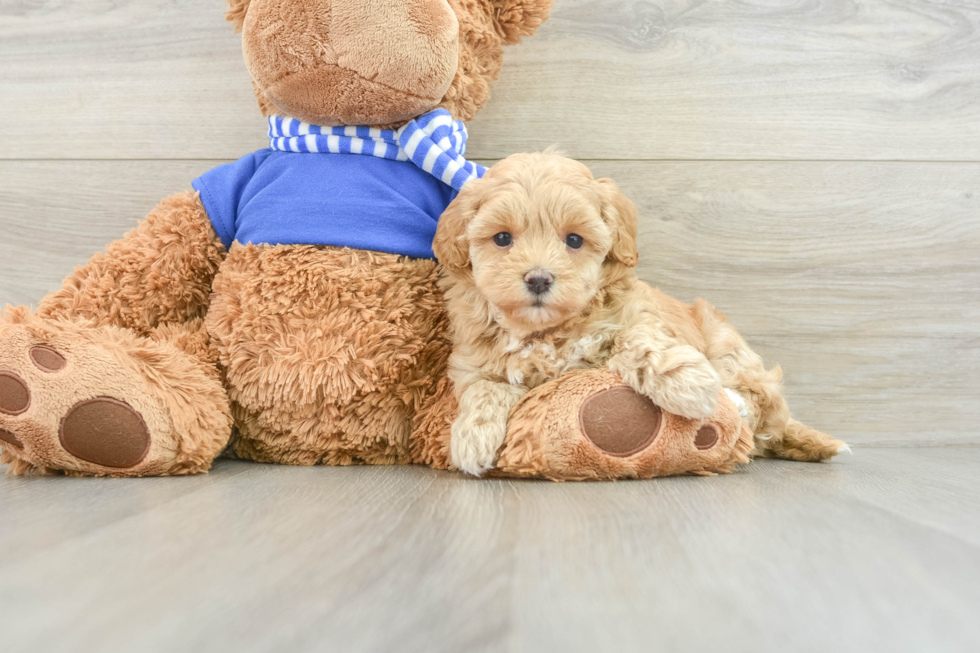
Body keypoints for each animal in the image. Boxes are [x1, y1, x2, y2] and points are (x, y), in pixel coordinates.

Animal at [432, 151, 848, 476]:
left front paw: (688, 382)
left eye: (574, 240)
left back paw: (736, 403)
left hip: (726, 342)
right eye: (502, 238)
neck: (545, 331)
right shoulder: (474, 362)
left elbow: (640, 340)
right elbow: (485, 388)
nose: (538, 278)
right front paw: (471, 437)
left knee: (761, 403)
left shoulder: (634, 315)